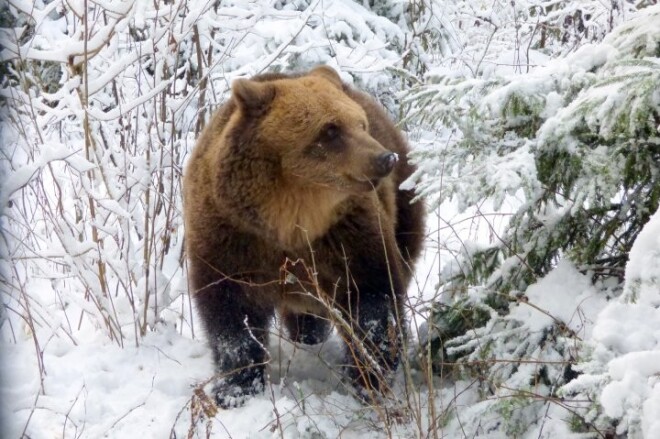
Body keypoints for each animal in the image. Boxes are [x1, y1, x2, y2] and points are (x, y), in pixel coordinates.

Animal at [183, 66, 426, 410]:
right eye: (330, 130)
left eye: (360, 123)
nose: (384, 158)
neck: (291, 220)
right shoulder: (232, 239)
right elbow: (231, 316)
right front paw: (234, 388)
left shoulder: (348, 237)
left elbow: (373, 303)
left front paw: (368, 379)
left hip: (404, 208)